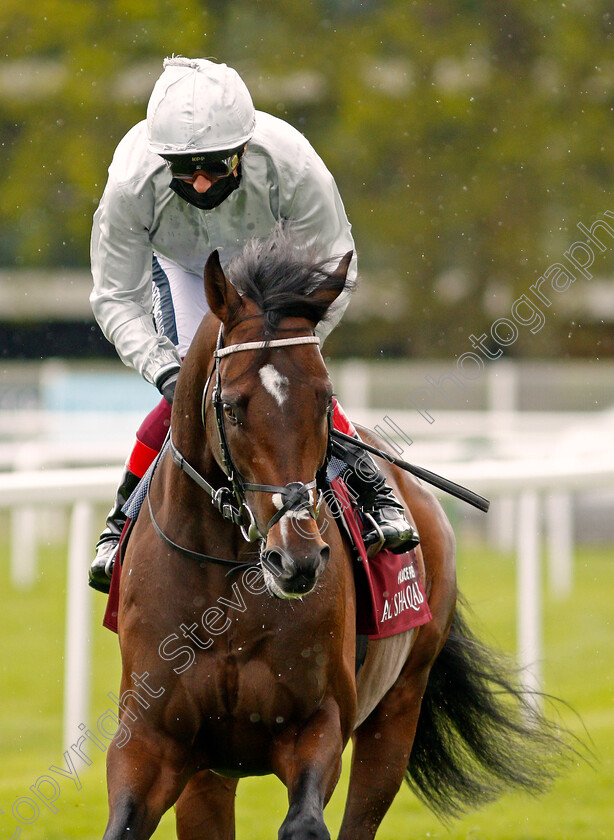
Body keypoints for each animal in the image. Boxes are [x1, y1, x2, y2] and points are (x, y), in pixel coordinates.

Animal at [106, 231, 572, 840]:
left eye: (326, 400)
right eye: (230, 407)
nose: (296, 559)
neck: (227, 586)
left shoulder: (316, 723)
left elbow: (305, 822)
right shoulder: (152, 742)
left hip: (399, 707)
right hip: (211, 772)